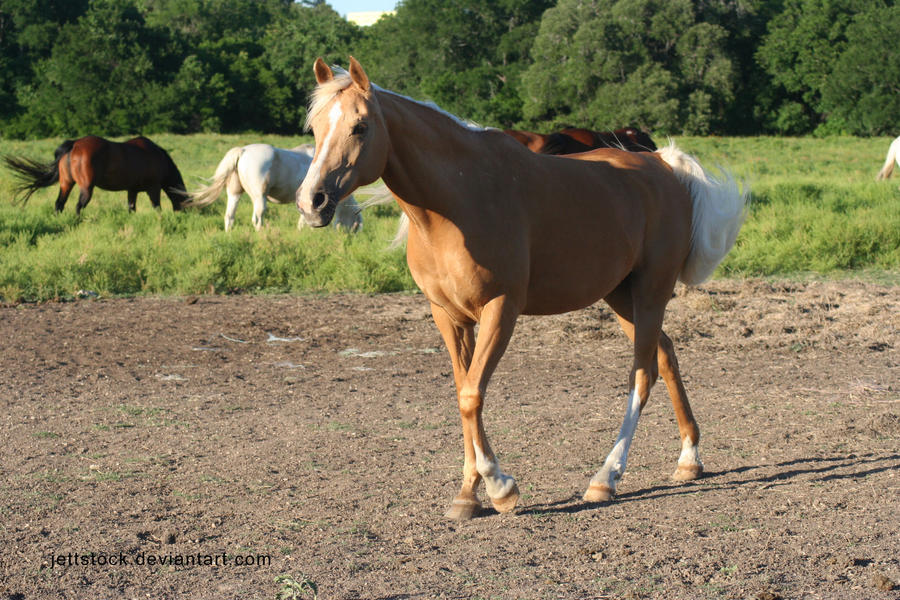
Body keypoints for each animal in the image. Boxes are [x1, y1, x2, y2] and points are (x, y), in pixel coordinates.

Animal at [2, 135, 186, 213]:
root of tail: (74, 144)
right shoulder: (153, 188)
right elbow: (157, 208)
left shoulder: (132, 190)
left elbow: (131, 209)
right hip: (86, 188)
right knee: (78, 206)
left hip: (66, 184)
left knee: (59, 204)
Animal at [186, 143, 362, 232]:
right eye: (356, 225)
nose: (350, 239)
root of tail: (243, 150)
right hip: (259, 197)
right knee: (257, 218)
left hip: (234, 193)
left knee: (229, 216)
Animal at [298, 58, 748, 524]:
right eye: (315, 128)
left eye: (360, 126)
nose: (312, 201)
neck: (458, 201)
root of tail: (661, 163)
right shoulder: (448, 316)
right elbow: (463, 393)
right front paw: (468, 495)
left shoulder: (501, 308)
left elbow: (472, 395)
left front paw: (500, 488)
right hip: (623, 297)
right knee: (666, 355)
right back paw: (689, 459)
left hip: (651, 290)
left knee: (642, 373)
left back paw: (606, 478)